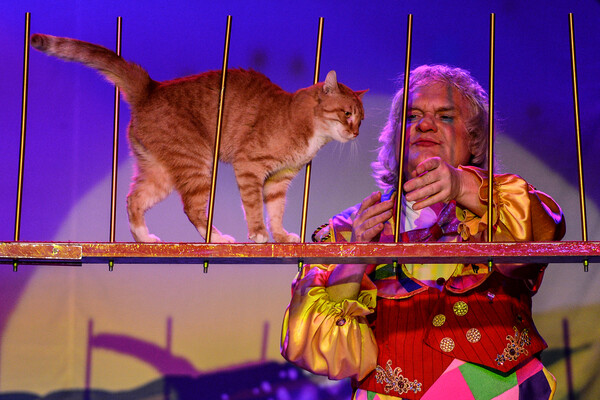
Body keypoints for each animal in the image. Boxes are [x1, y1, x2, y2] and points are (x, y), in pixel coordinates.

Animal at [30, 33, 367, 243]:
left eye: (361, 118)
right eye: (347, 113)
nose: (356, 133)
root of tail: (152, 87)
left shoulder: (278, 180)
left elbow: (276, 211)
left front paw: (281, 236)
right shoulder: (249, 166)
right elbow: (255, 207)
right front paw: (259, 233)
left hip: (160, 173)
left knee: (133, 199)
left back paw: (144, 237)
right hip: (197, 164)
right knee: (192, 209)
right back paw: (217, 237)